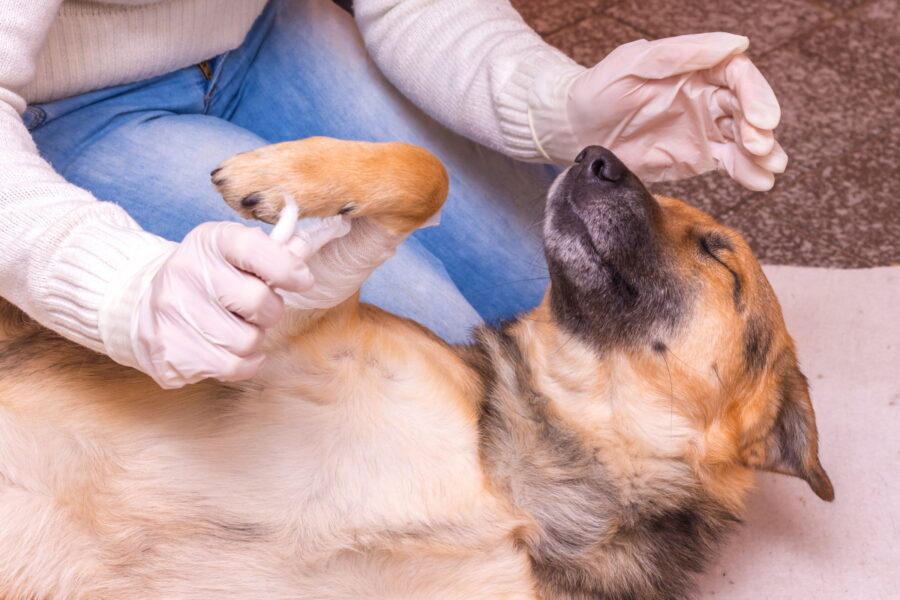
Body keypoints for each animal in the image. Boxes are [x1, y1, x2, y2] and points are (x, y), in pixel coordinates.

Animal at [0, 138, 832, 596]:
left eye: (718, 255)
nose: (594, 157)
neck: (517, 486)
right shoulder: (293, 336)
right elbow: (426, 172)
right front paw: (290, 171)